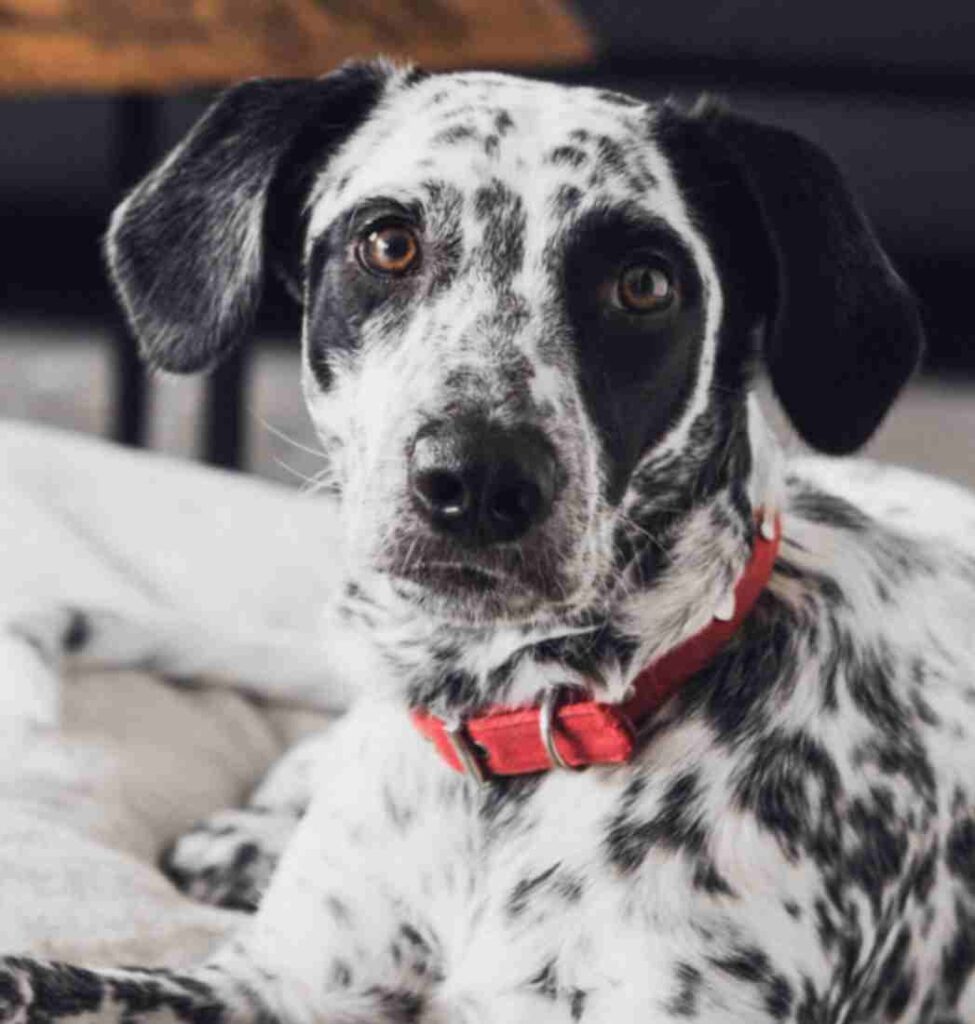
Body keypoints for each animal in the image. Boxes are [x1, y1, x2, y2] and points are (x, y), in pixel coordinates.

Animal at [1, 61, 975, 1024]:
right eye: (388, 243)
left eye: (645, 284)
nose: (475, 480)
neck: (505, 730)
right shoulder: (269, 987)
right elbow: (44, 982)